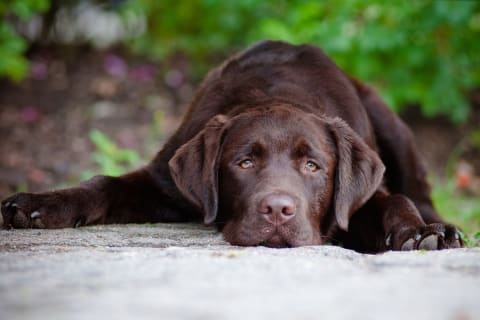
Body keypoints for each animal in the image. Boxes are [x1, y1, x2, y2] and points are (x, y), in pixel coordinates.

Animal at [1, 40, 464, 252]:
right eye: (244, 163)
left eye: (313, 166)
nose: (278, 210)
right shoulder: (162, 182)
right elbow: (103, 184)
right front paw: (39, 205)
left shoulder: (356, 202)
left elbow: (393, 200)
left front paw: (419, 234)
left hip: (391, 124)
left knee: (418, 190)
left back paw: (441, 227)